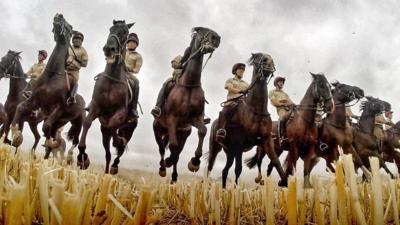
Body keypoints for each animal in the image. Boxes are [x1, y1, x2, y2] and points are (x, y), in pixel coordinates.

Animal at [10, 13, 85, 160]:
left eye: (70, 26)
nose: (59, 16)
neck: (51, 75)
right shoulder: (34, 101)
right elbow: (20, 108)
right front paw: (16, 136)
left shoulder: (58, 108)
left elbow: (46, 126)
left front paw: (52, 142)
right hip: (61, 121)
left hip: (78, 122)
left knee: (75, 140)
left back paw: (68, 155)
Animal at [77, 19, 137, 174]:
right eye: (111, 30)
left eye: (125, 32)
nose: (109, 48)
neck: (112, 80)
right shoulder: (96, 108)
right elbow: (87, 123)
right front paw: (82, 159)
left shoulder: (120, 113)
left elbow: (113, 125)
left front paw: (118, 141)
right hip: (104, 134)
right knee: (108, 154)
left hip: (129, 130)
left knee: (119, 148)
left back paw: (115, 163)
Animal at [154, 27, 222, 183]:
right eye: (202, 30)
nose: (216, 38)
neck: (189, 84)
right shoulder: (172, 119)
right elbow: (172, 147)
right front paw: (168, 161)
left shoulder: (194, 119)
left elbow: (202, 131)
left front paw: (194, 162)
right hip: (158, 129)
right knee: (162, 149)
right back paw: (163, 167)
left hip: (183, 134)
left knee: (176, 152)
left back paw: (173, 176)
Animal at [206, 52, 288, 188]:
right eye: (262, 58)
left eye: (271, 58)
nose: (270, 66)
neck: (256, 110)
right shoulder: (239, 144)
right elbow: (238, 169)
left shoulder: (266, 140)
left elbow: (276, 161)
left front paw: (285, 183)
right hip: (217, 147)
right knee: (210, 166)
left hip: (229, 151)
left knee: (224, 170)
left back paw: (223, 190)